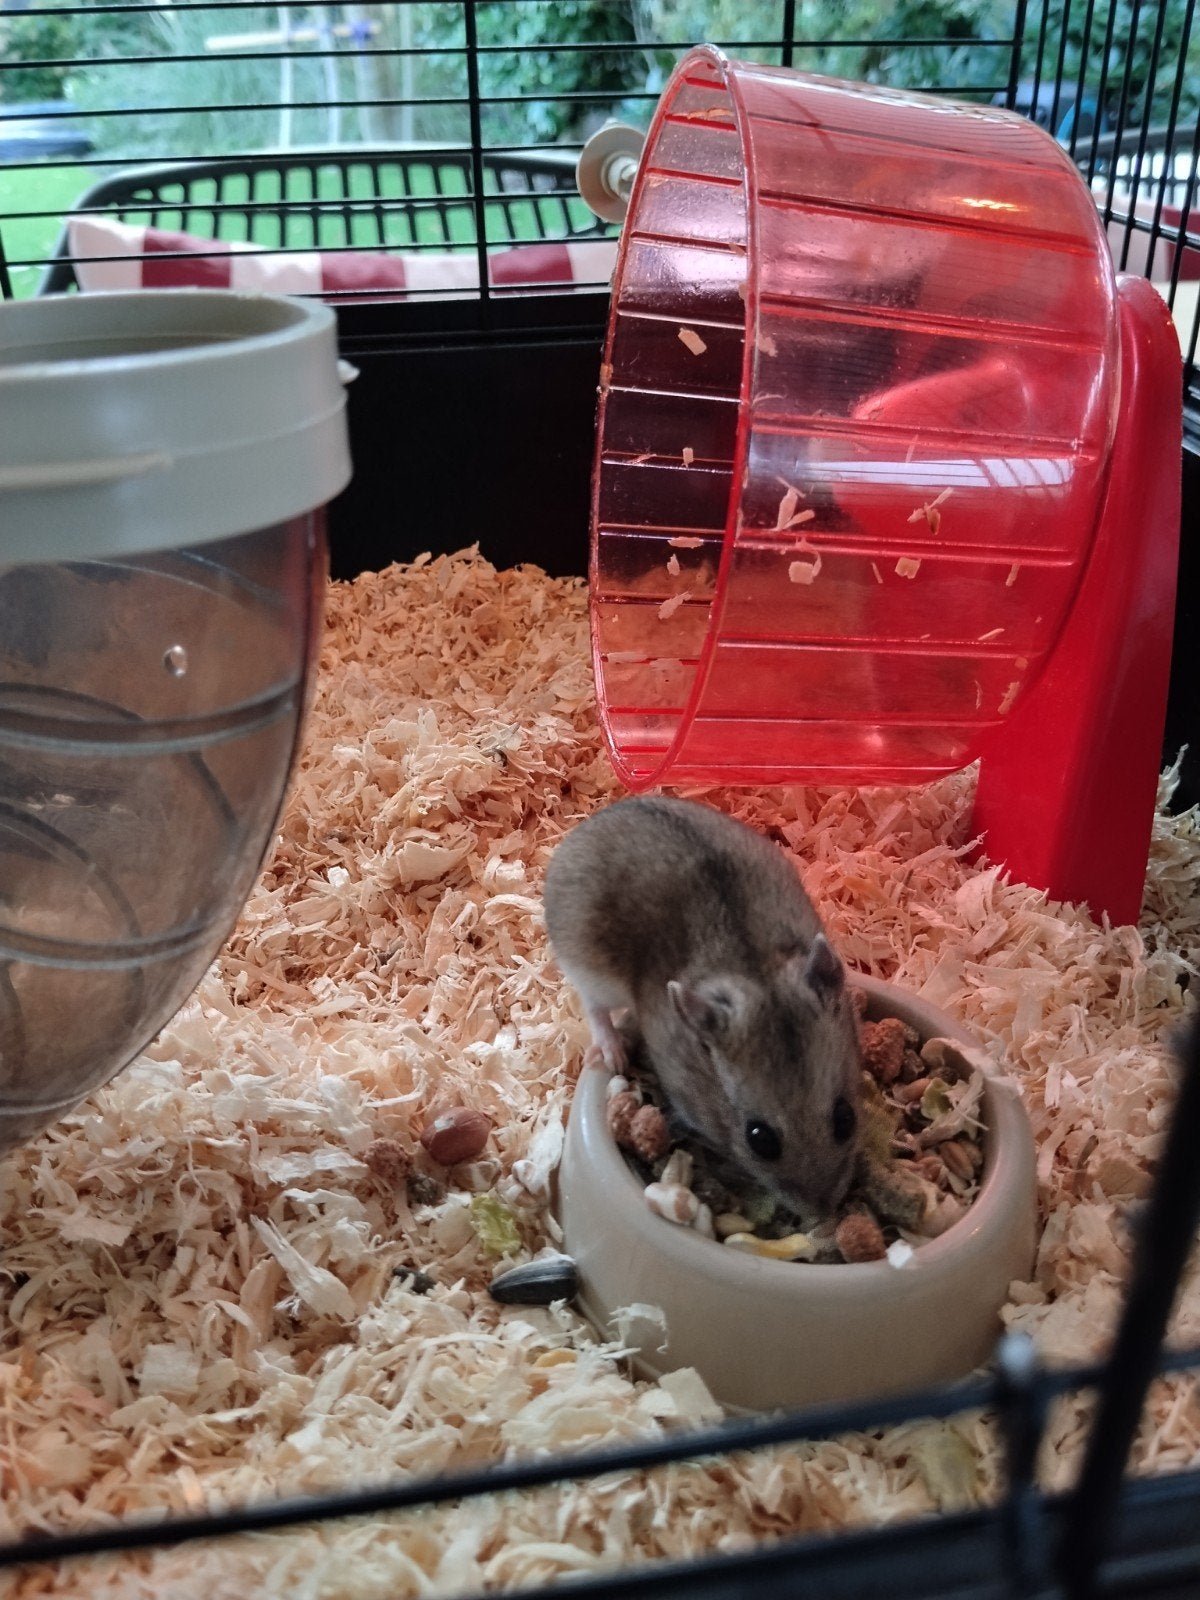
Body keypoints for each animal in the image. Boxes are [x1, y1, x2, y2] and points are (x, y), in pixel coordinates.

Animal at [543, 796, 862, 1221]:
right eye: (759, 1139)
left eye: (846, 1118)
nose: (824, 1212)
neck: (752, 969)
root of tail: (606, 814)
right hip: (588, 967)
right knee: (594, 1009)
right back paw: (612, 1054)